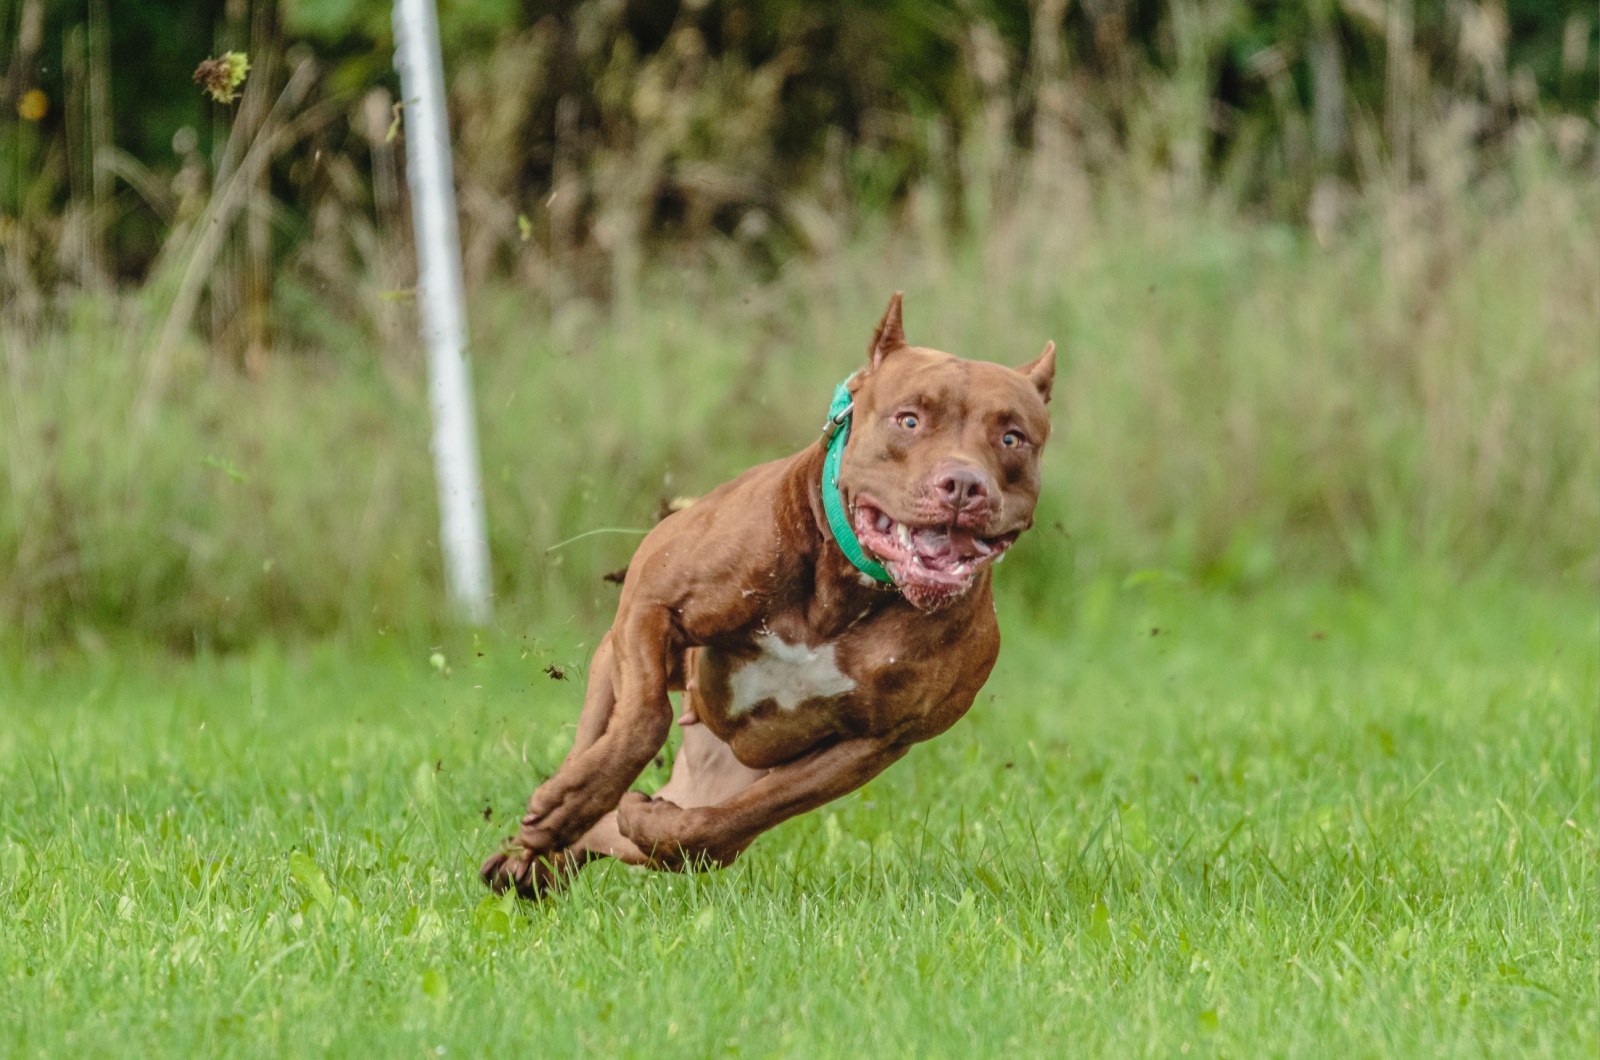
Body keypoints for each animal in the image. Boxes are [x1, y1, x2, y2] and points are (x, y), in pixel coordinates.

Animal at [480, 293, 1056, 896]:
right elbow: (644, 719)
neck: (843, 593)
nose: (964, 485)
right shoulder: (651, 604)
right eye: (909, 420)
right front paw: (568, 804)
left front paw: (654, 823)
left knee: (627, 832)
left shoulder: (873, 743)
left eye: (1012, 438)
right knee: (602, 732)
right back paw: (544, 833)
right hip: (610, 664)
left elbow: (732, 821)